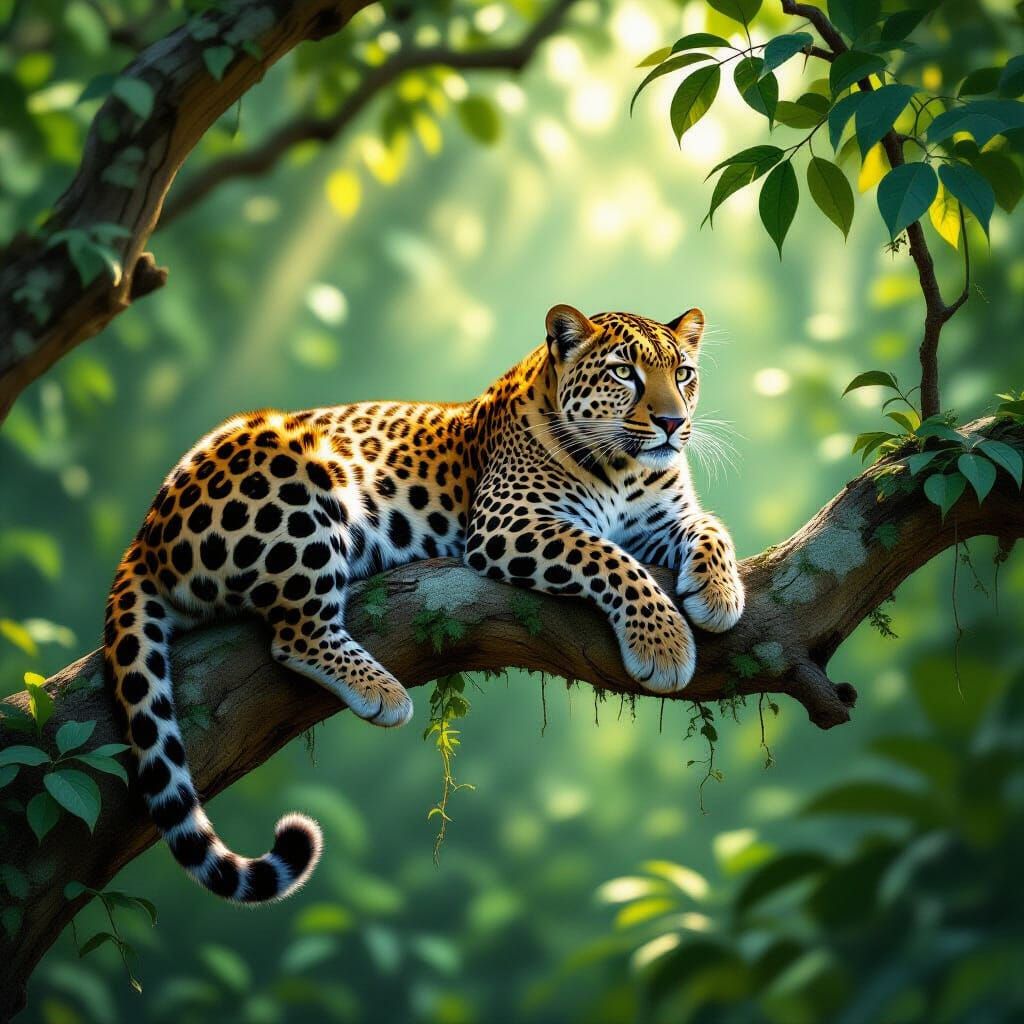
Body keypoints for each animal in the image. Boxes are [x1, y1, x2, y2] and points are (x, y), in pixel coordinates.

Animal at [104, 304, 744, 904]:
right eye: (623, 373)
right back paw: (382, 690)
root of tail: (145, 532)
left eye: (683, 374)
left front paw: (721, 593)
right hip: (296, 474)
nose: (673, 423)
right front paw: (663, 643)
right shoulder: (508, 522)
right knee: (296, 634)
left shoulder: (665, 517)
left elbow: (713, 528)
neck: (626, 470)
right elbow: (610, 558)